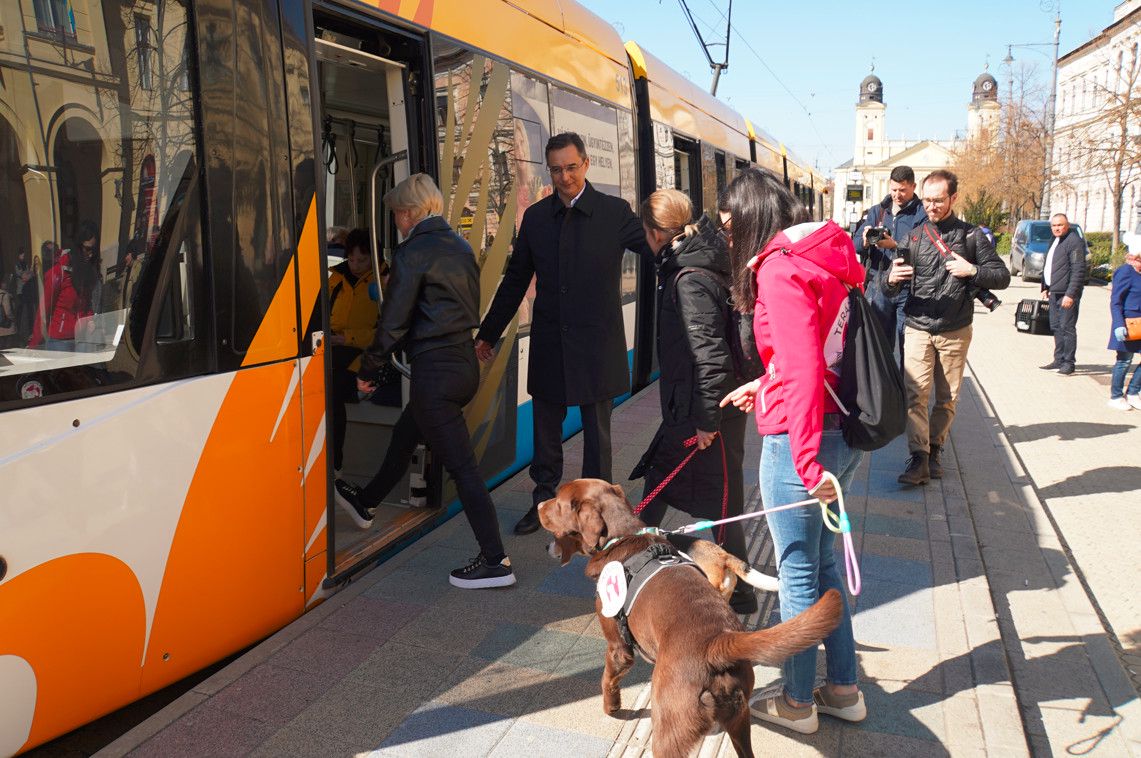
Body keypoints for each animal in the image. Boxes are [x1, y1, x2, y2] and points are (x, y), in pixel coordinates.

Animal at [538, 479, 844, 758]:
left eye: (558, 501)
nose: (539, 505)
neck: (622, 534)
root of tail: (717, 644)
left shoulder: (618, 648)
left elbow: (608, 680)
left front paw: (611, 707)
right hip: (739, 719)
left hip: (669, 729)